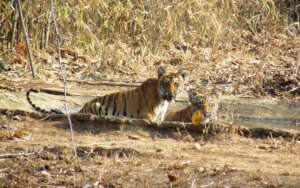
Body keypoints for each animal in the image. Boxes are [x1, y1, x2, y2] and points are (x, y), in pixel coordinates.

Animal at [27, 67, 188, 121]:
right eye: (165, 83)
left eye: (176, 83)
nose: (171, 93)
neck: (163, 100)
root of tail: (83, 107)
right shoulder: (147, 116)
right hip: (98, 105)